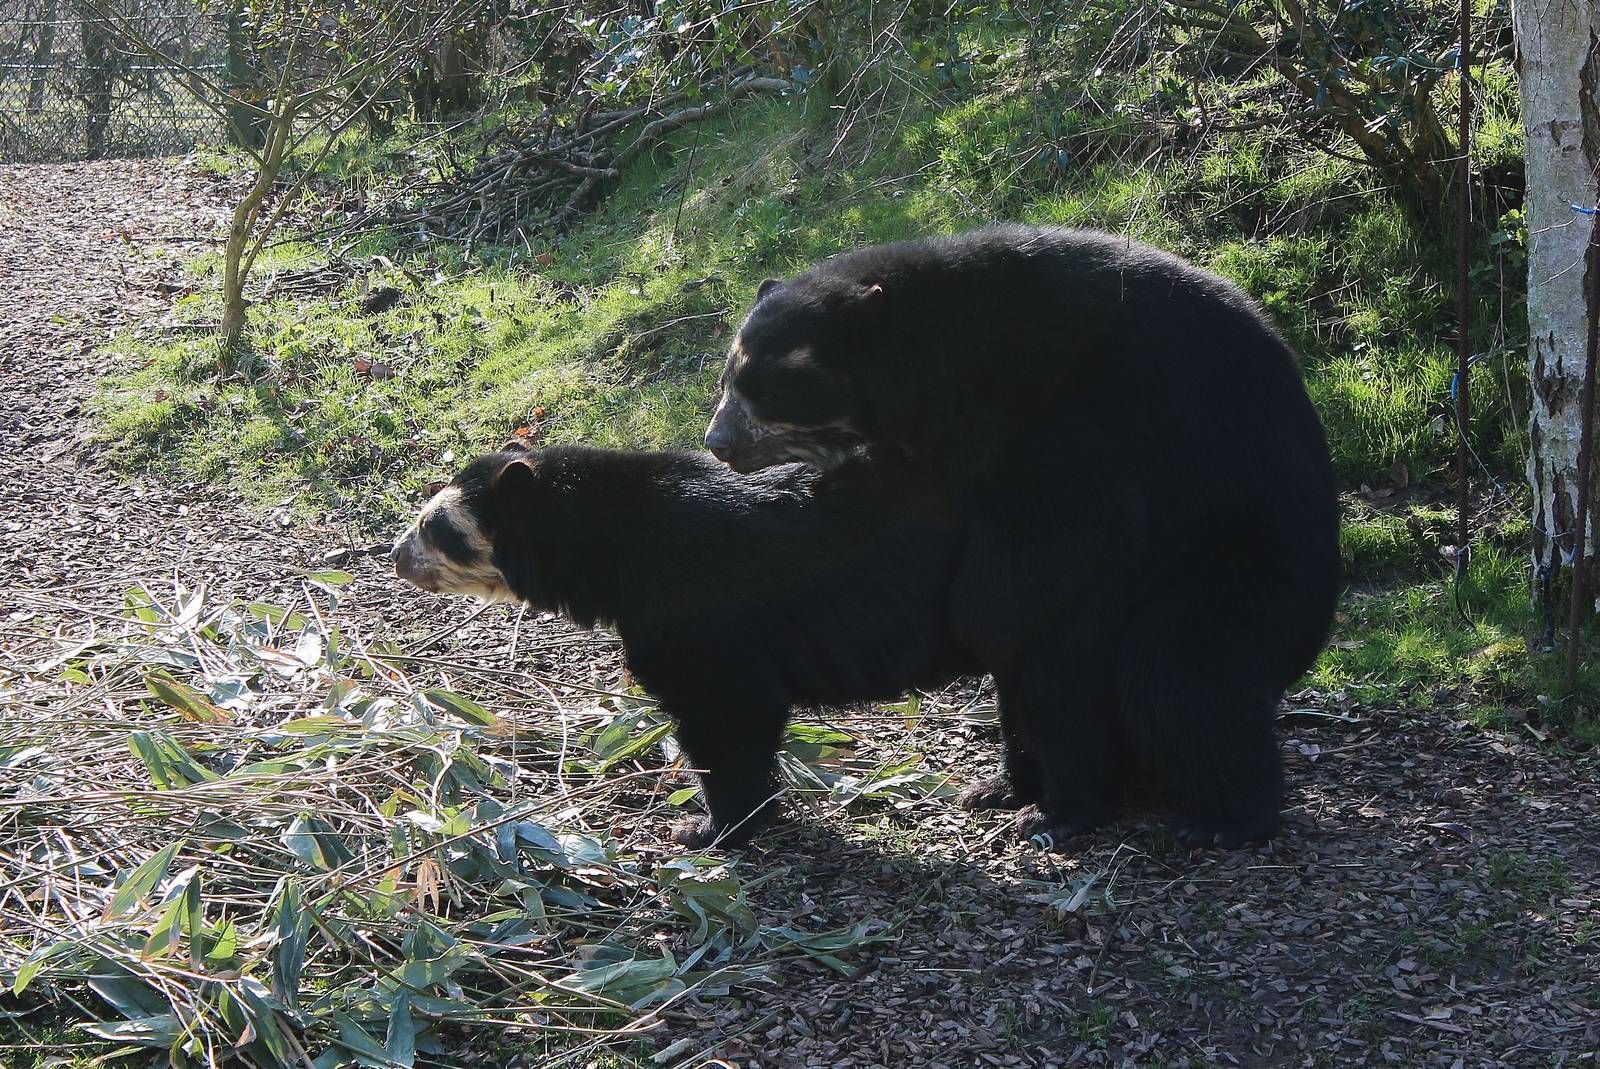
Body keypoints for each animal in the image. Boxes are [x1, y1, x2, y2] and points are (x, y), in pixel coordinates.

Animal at [391, 441, 977, 847]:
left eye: (436, 527)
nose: (395, 555)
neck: (611, 551)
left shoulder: (698, 620)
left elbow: (729, 717)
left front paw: (711, 828)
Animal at [703, 224, 1342, 848]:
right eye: (728, 379)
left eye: (767, 389)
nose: (717, 441)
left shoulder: (1064, 421)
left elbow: (1061, 542)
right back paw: (1003, 789)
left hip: (1236, 561)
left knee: (1180, 678)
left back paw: (1216, 820)